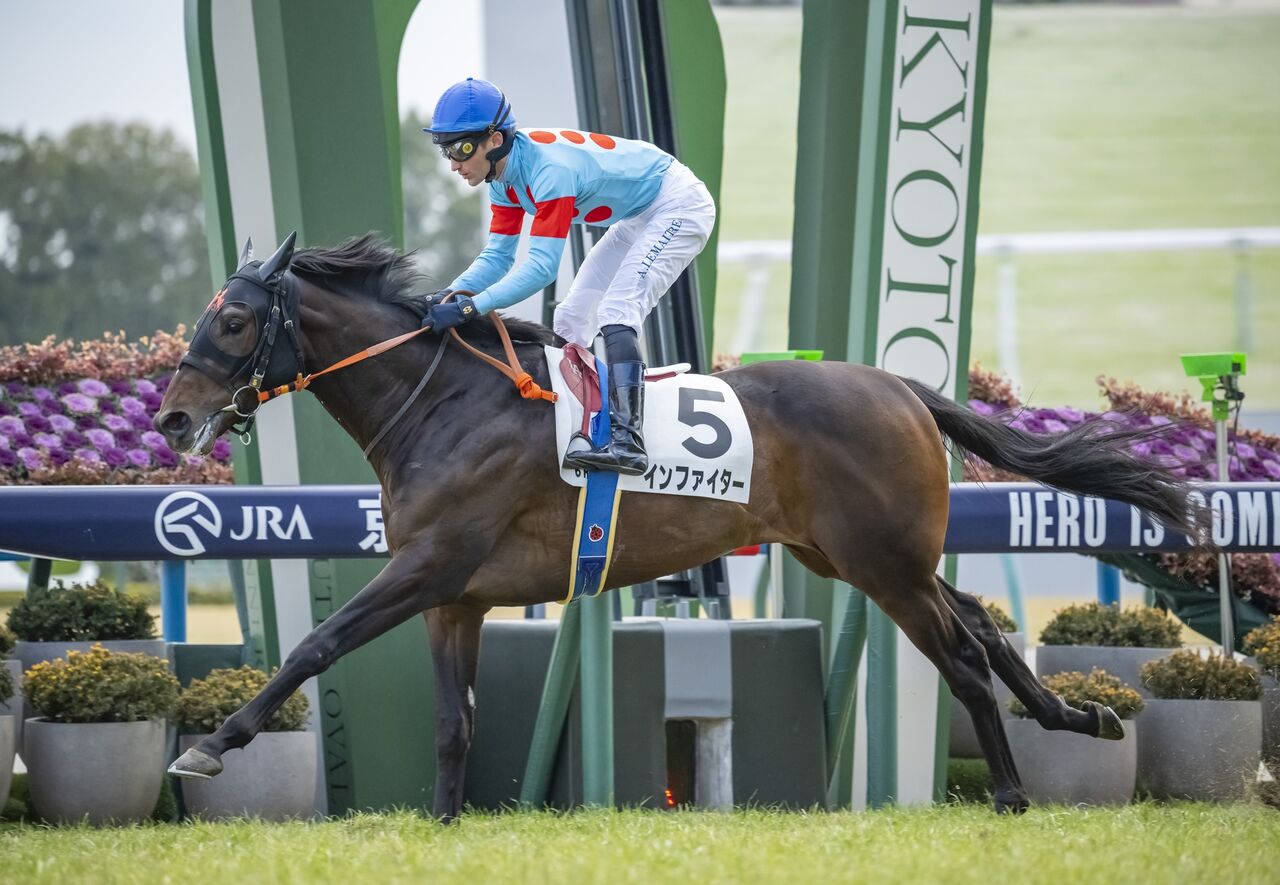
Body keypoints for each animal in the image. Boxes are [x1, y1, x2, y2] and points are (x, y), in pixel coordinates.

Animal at [156, 232, 1201, 818]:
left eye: (236, 321)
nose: (171, 417)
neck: (446, 403)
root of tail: (901, 385)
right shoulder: (454, 596)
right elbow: (455, 723)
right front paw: (448, 825)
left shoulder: (424, 565)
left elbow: (315, 645)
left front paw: (210, 744)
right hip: (863, 554)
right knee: (981, 622)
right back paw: (1081, 714)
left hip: (885, 568)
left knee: (965, 658)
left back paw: (1017, 791)